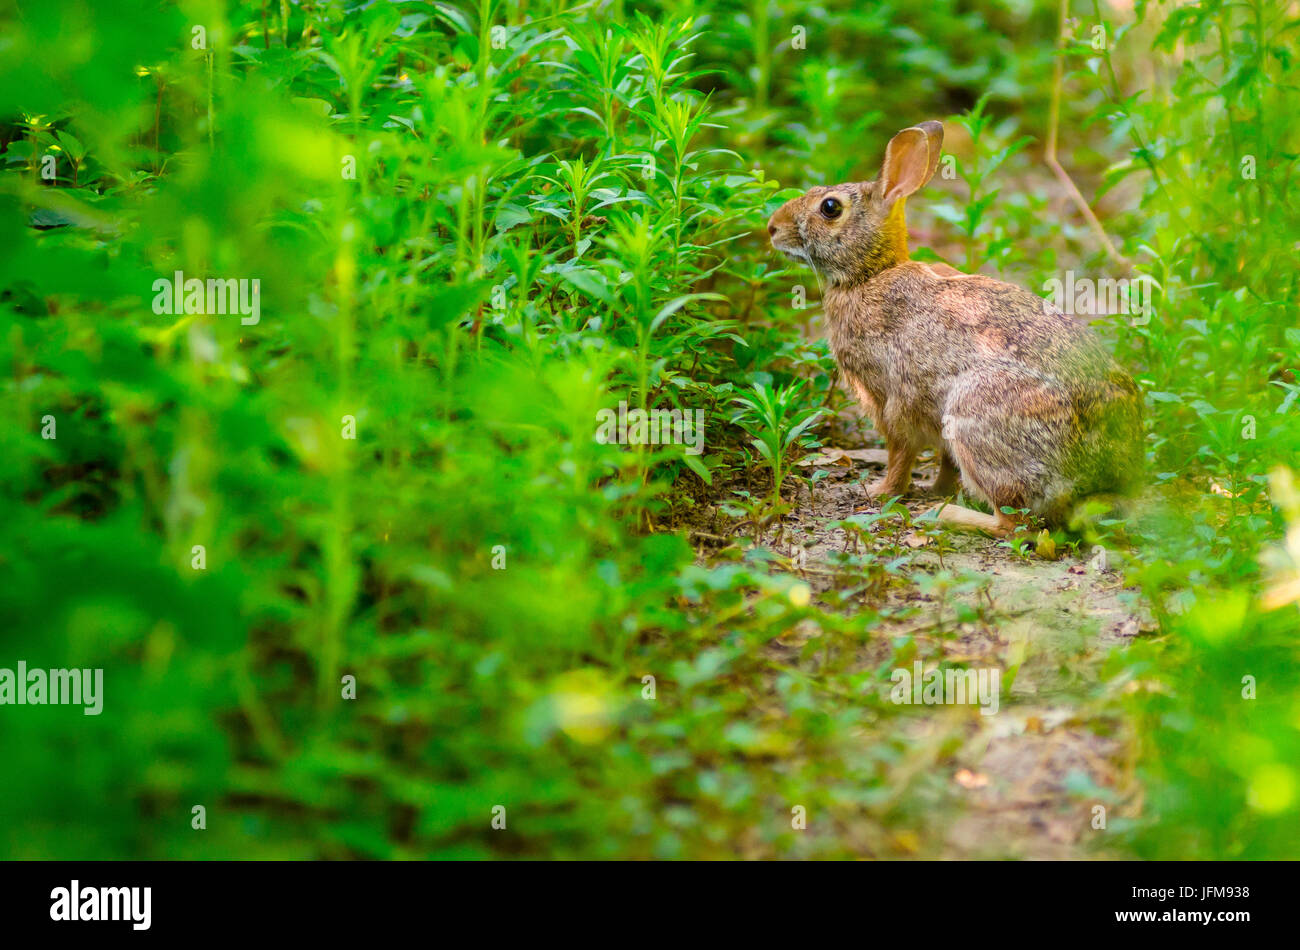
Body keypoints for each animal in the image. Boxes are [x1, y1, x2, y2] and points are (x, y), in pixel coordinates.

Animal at [764, 118, 1144, 535]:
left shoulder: (893, 399)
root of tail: (1104, 476)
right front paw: (938, 488)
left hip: (976, 415)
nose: (772, 227)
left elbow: (900, 452)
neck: (870, 273)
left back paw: (947, 515)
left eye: (830, 207)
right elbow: (943, 462)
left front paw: (881, 492)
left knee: (1015, 524)